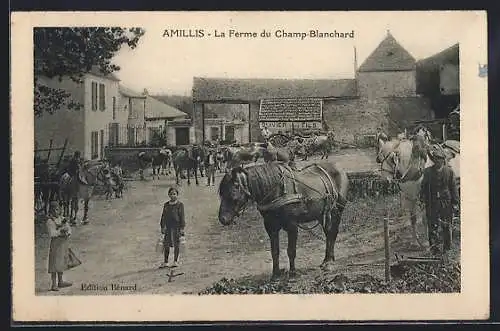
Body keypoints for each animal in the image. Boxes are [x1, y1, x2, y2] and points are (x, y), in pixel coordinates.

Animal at [217, 162, 350, 282]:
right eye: (221, 192)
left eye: (234, 189)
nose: (223, 219)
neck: (276, 192)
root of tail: (339, 169)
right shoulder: (271, 228)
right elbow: (274, 252)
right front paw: (275, 275)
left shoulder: (292, 226)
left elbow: (291, 251)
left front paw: (292, 274)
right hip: (323, 215)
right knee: (328, 234)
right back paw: (327, 259)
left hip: (337, 212)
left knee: (332, 233)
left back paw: (329, 262)